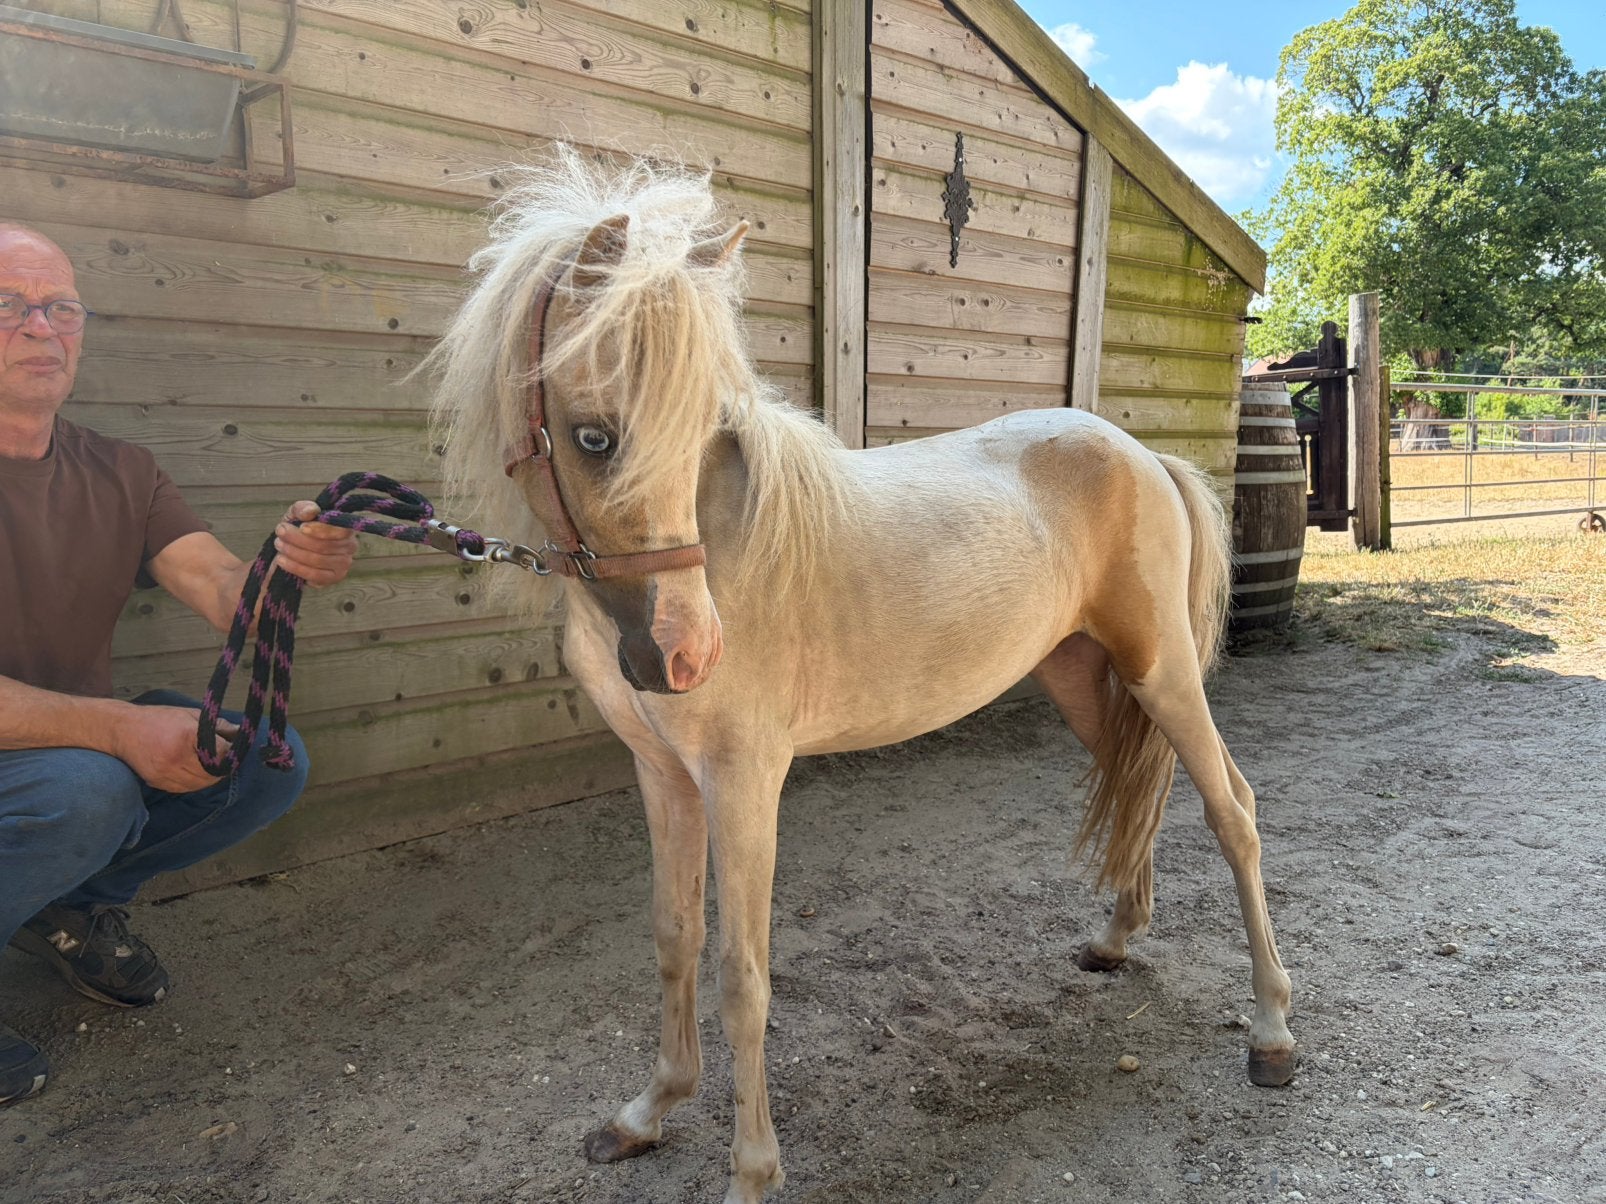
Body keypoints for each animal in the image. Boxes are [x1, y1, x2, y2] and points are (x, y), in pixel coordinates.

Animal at [426, 147, 1295, 1203]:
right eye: (593, 436)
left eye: (700, 430)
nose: (685, 655)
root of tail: (1144, 454)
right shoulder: (663, 774)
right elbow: (674, 938)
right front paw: (647, 1112)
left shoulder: (744, 781)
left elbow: (741, 975)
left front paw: (752, 1172)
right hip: (1085, 679)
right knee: (1142, 789)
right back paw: (1116, 937)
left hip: (1162, 672)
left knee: (1233, 811)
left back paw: (1273, 1032)